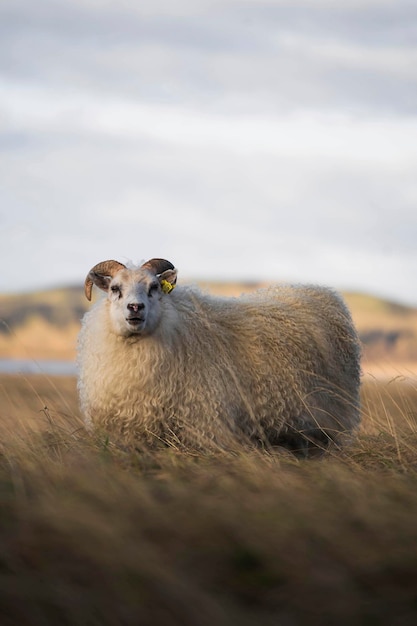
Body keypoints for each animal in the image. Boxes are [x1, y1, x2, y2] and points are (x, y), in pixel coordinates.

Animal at [79, 258, 360, 454]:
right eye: (115, 288)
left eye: (154, 287)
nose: (135, 308)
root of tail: (323, 293)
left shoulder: (205, 424)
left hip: (328, 417)